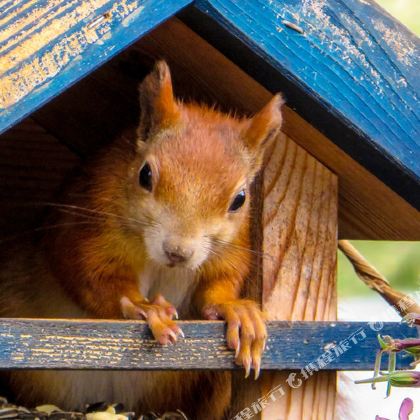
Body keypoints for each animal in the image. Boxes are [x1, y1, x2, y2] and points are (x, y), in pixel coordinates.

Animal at [0, 60, 284, 418]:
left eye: (240, 200)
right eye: (145, 174)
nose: (178, 251)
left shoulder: (230, 251)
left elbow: (218, 285)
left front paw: (236, 311)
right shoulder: (89, 230)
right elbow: (95, 279)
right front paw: (144, 307)